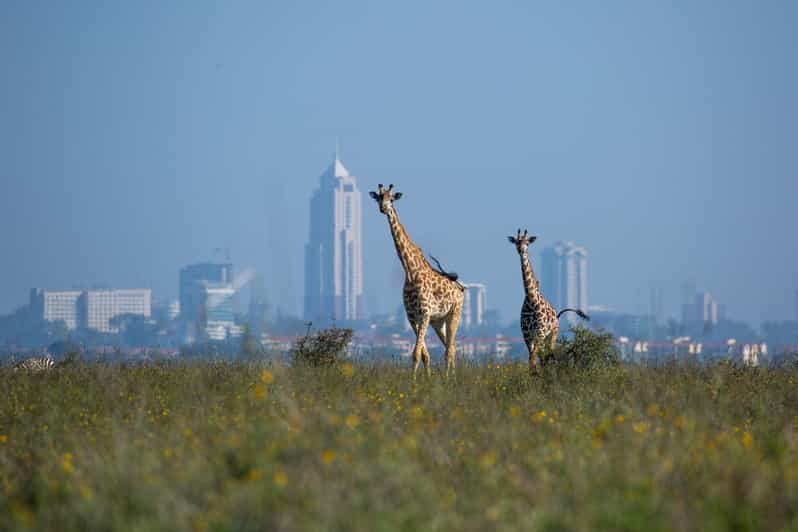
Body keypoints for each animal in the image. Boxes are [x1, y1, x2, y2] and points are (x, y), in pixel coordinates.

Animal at [370, 185, 468, 376]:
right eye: (378, 197)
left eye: (392, 199)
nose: (383, 208)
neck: (410, 271)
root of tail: (460, 289)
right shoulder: (412, 316)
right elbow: (424, 355)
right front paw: (424, 378)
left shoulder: (424, 314)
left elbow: (416, 353)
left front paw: (414, 381)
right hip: (438, 321)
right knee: (450, 346)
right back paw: (451, 376)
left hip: (455, 314)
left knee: (450, 349)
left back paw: (449, 378)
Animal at [510, 229, 592, 370]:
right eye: (516, 242)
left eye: (527, 243)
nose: (521, 250)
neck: (531, 299)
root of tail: (557, 316)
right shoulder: (527, 335)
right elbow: (531, 360)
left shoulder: (540, 332)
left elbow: (534, 359)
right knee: (543, 356)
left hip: (552, 334)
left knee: (548, 354)